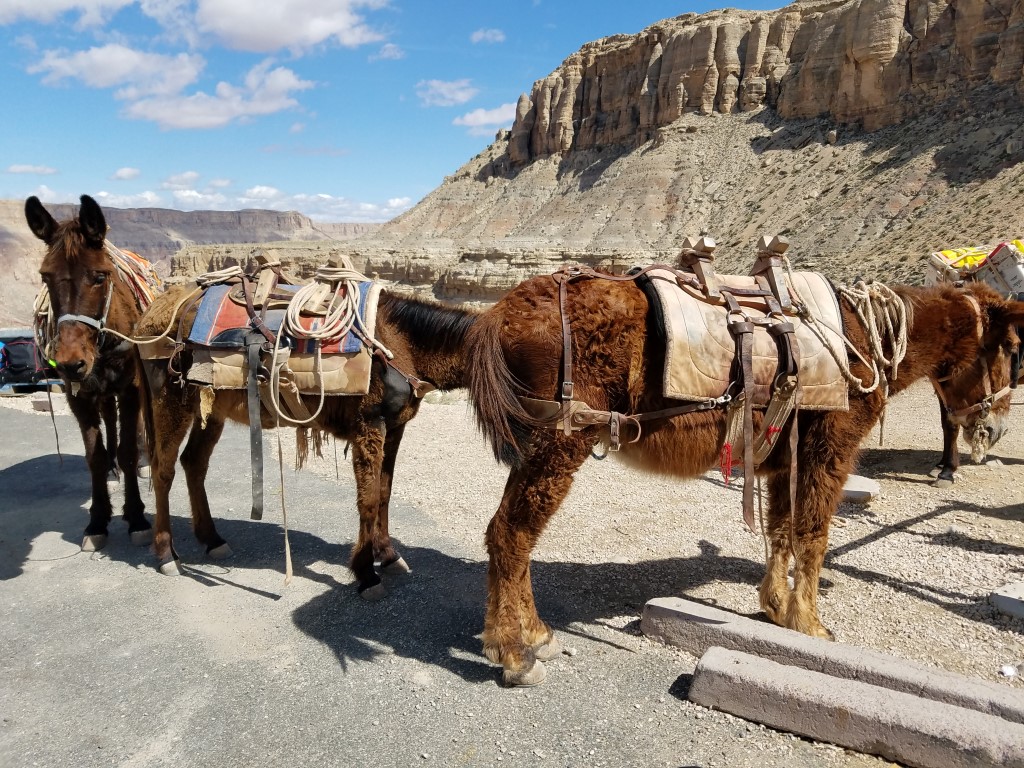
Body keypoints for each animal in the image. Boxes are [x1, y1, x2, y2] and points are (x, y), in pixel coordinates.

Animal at [25, 195, 160, 551]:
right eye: (46, 277)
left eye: (100, 276)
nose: (71, 363)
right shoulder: (80, 396)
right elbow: (94, 456)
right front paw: (98, 520)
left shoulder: (130, 389)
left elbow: (128, 452)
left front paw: (136, 517)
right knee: (109, 421)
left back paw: (142, 464)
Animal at [134, 279, 476, 596]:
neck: (400, 343)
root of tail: (155, 310)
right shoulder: (369, 427)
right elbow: (368, 499)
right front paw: (366, 573)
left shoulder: (394, 428)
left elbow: (384, 493)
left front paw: (388, 555)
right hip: (170, 402)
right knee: (163, 470)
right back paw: (167, 554)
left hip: (211, 409)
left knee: (194, 463)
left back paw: (212, 539)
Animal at [466, 266, 1024, 686]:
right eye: (1011, 350)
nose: (997, 429)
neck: (858, 339)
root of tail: (503, 310)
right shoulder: (829, 452)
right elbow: (813, 536)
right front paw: (810, 623)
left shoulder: (782, 461)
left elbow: (780, 532)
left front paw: (776, 606)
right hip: (558, 445)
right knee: (511, 534)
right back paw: (514, 652)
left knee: (511, 537)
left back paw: (532, 635)